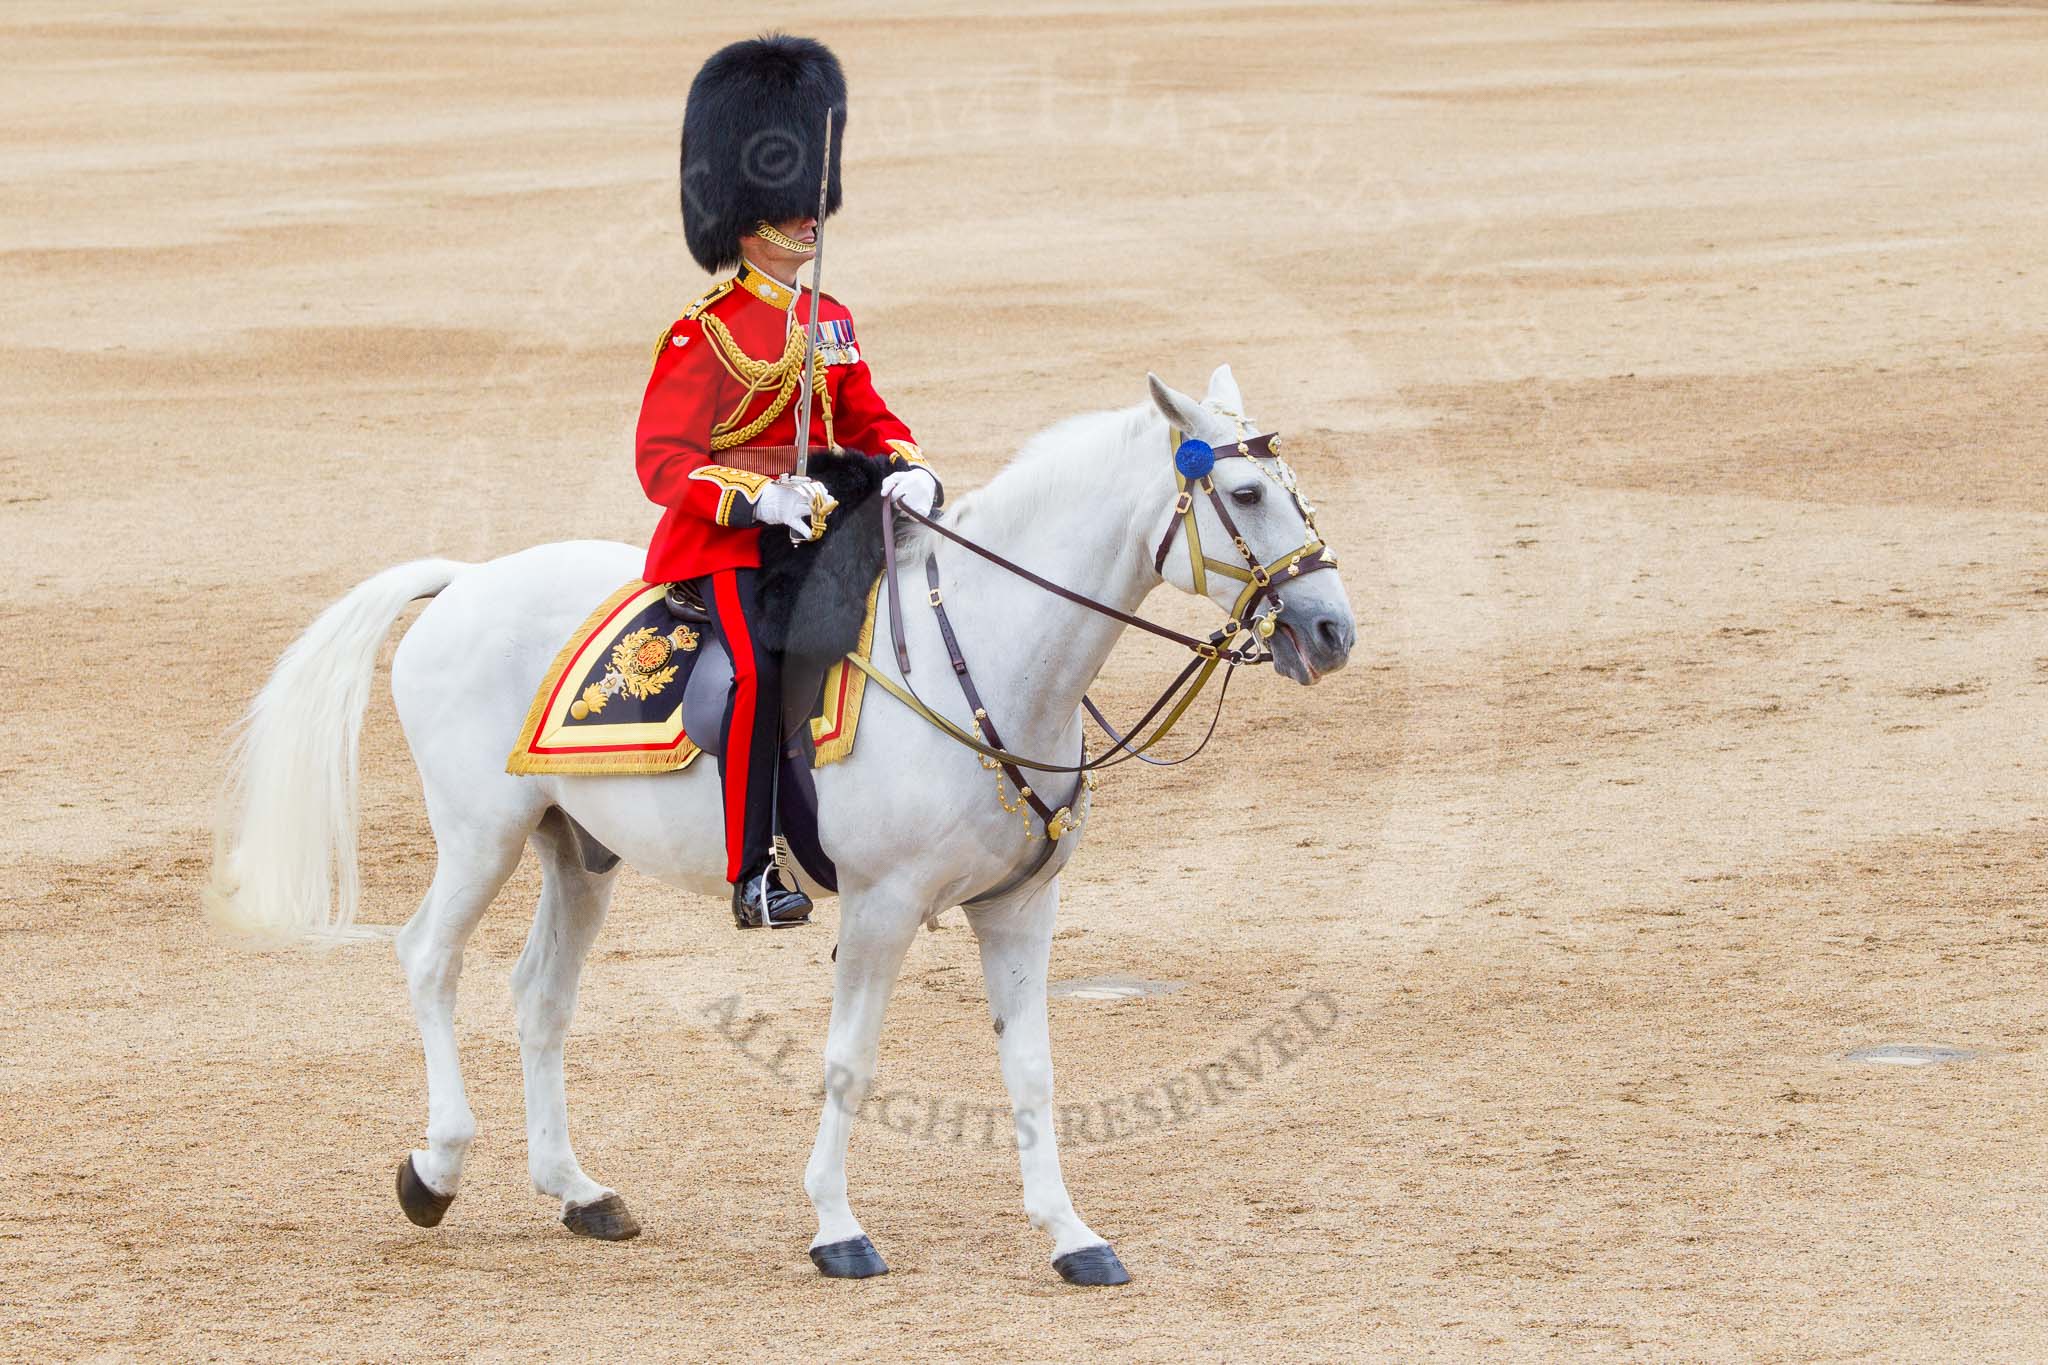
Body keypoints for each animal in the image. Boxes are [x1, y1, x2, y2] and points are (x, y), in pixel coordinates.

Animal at [207, 364, 1357, 1285]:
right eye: (1244, 492)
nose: (1331, 629)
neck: (985, 650)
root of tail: (464, 580)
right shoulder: (883, 910)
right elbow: (849, 1061)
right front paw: (836, 1229)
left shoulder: (1020, 908)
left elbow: (1031, 1069)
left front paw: (1072, 1236)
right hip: (479, 834)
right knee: (427, 959)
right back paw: (436, 1167)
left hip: (577, 853)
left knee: (539, 996)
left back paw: (579, 1190)